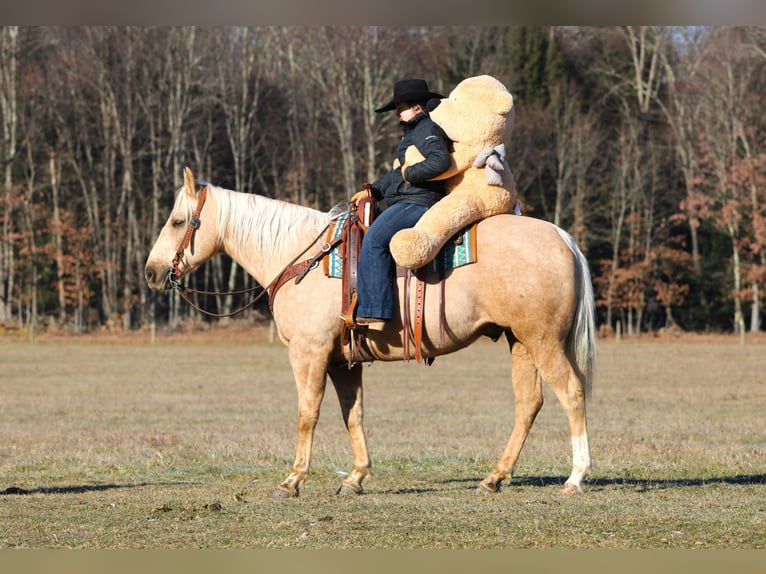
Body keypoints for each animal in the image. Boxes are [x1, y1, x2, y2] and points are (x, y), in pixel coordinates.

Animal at [145, 167, 596, 498]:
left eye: (178, 221)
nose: (151, 272)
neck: (300, 256)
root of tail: (562, 237)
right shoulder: (343, 361)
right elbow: (353, 414)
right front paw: (355, 477)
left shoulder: (308, 353)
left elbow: (307, 414)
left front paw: (292, 481)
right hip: (520, 342)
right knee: (528, 404)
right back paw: (495, 477)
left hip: (543, 340)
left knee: (571, 392)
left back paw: (575, 478)